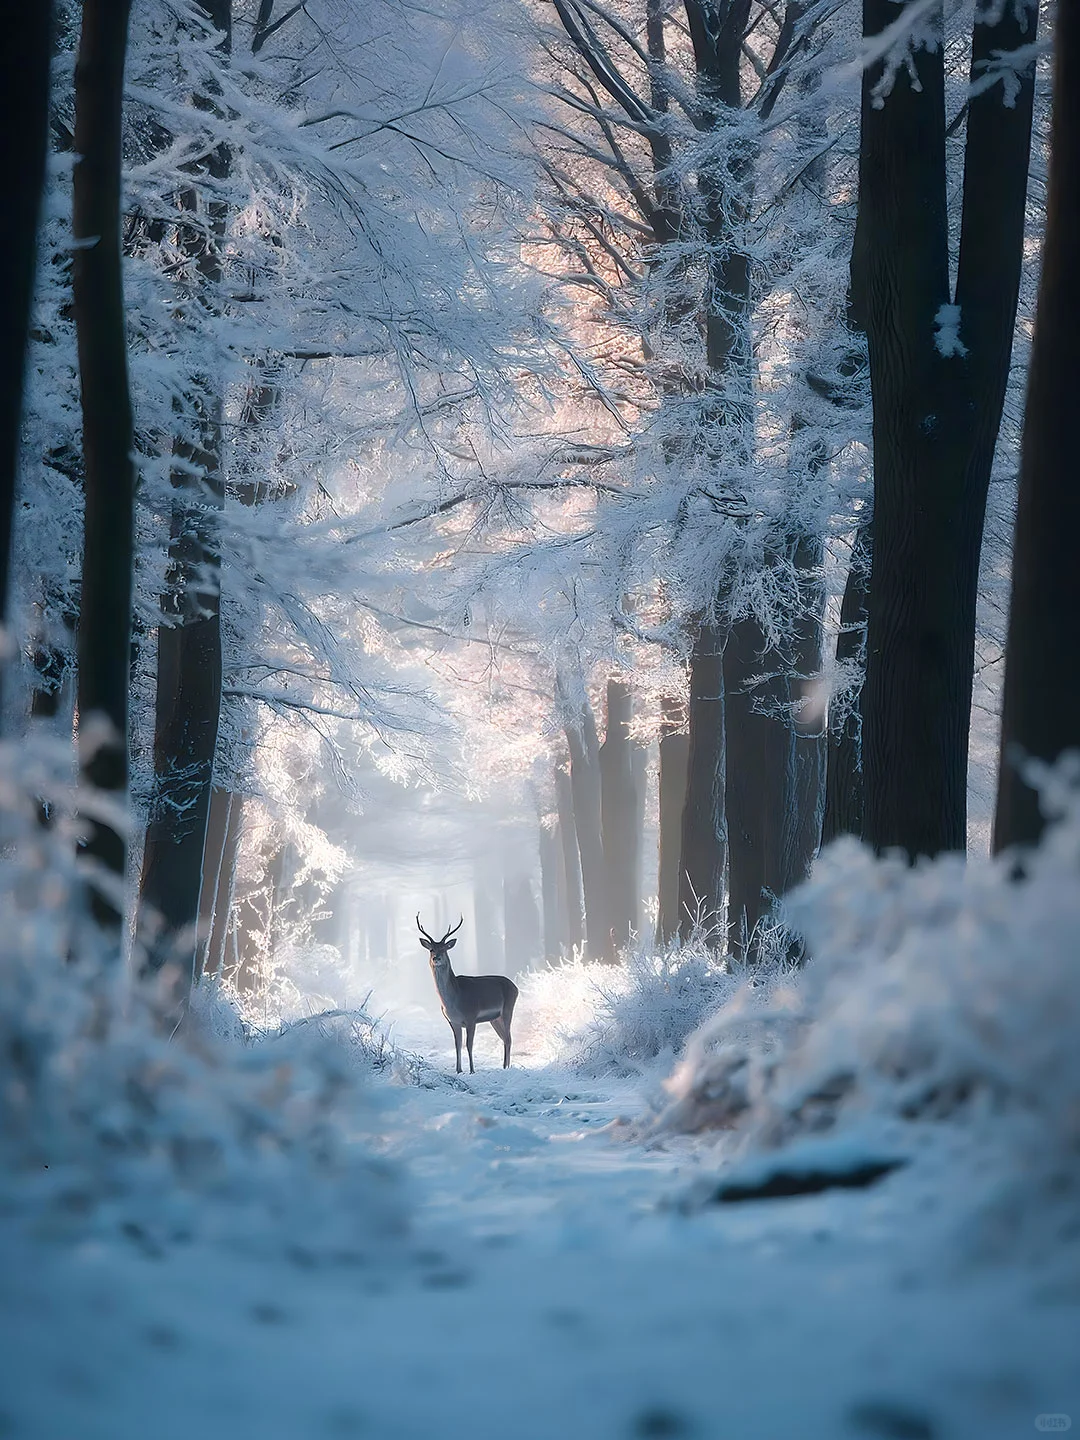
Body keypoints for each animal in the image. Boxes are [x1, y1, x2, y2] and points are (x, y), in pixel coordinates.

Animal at [416, 915, 518, 1074]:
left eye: (444, 949)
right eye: (431, 949)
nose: (436, 958)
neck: (454, 1000)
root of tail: (515, 987)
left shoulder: (471, 1017)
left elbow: (469, 1045)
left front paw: (472, 1070)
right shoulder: (453, 1021)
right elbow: (457, 1045)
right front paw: (458, 1070)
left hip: (508, 1009)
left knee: (509, 1038)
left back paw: (506, 1067)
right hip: (494, 1019)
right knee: (505, 1038)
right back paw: (504, 1066)